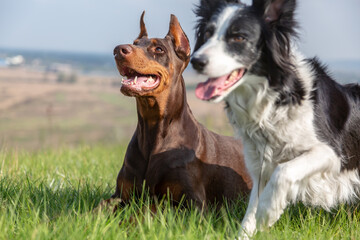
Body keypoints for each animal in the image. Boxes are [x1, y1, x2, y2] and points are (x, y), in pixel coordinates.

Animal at [105, 12, 250, 209]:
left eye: (159, 49)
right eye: (135, 43)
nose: (118, 50)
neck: (154, 126)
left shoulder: (193, 203)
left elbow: (153, 208)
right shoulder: (120, 195)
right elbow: (101, 206)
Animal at [191, 0, 360, 237]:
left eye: (239, 37)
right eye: (207, 34)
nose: (195, 61)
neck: (274, 99)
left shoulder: (331, 153)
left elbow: (284, 170)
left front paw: (268, 212)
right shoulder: (259, 163)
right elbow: (249, 213)